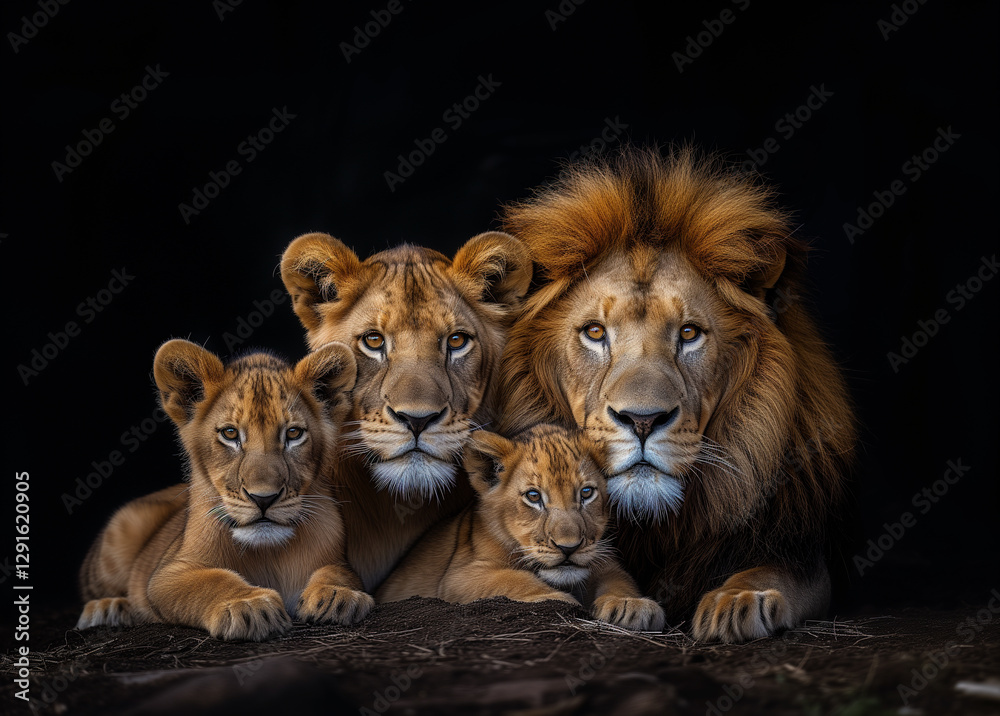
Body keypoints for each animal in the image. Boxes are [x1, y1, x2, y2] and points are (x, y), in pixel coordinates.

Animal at [77, 339, 373, 640]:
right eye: (230, 434)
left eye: (293, 434)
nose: (263, 498)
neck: (268, 553)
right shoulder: (168, 572)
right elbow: (210, 581)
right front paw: (248, 604)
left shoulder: (339, 558)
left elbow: (339, 572)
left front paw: (338, 595)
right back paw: (108, 609)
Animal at [377, 425, 666, 631]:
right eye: (533, 497)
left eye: (586, 493)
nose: (568, 548)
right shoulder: (460, 576)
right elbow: (513, 579)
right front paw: (562, 600)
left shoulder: (602, 560)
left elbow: (620, 579)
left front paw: (631, 606)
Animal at [496, 147, 855, 642]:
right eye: (594, 332)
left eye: (689, 333)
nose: (643, 420)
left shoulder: (797, 549)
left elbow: (774, 573)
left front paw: (739, 601)